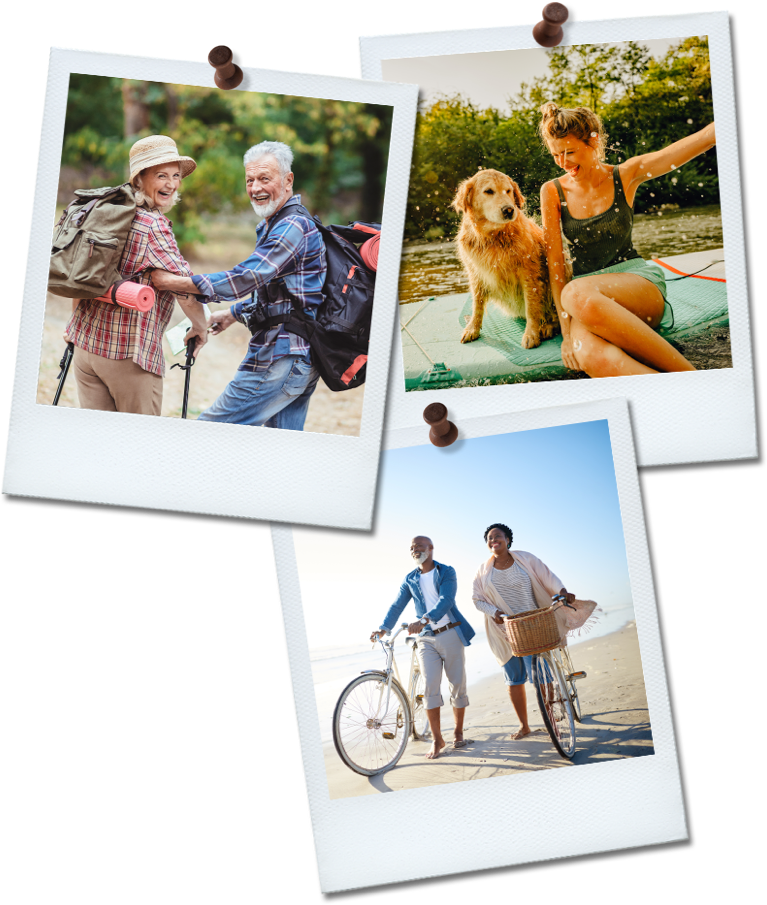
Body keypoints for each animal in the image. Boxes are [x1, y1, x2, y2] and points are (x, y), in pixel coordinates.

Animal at [452, 168, 560, 348]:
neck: (493, 237)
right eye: (488, 191)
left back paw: (548, 327)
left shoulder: (528, 272)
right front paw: (472, 328)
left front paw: (531, 334)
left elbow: (532, 307)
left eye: (508, 191)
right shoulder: (475, 273)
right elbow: (477, 304)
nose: (509, 210)